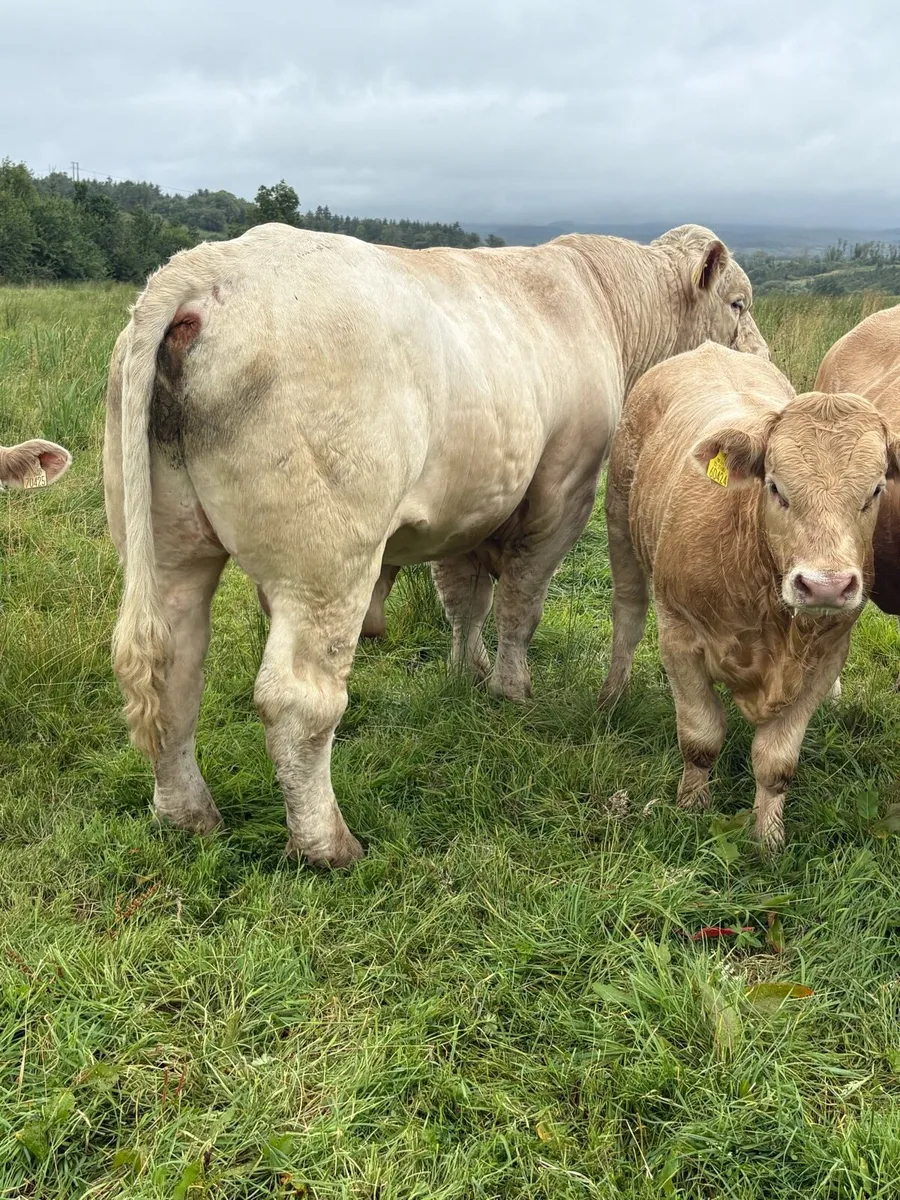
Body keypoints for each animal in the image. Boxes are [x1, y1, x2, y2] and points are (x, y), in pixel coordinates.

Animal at [104, 220, 766, 867]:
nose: (762, 360)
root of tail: (207, 267)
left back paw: (189, 816)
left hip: (169, 547)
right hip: (324, 564)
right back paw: (328, 845)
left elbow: (464, 599)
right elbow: (521, 605)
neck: (599, 299)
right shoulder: (564, 492)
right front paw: (510, 688)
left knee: (173, 673)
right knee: (296, 702)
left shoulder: (467, 508)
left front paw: (468, 672)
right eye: (737, 303)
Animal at [598, 341, 898, 851]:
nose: (825, 585)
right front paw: (691, 806)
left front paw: (769, 838)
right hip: (620, 522)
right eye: (776, 487)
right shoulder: (679, 635)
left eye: (874, 490)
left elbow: (776, 763)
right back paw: (612, 694)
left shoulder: (827, 656)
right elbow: (700, 736)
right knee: (628, 616)